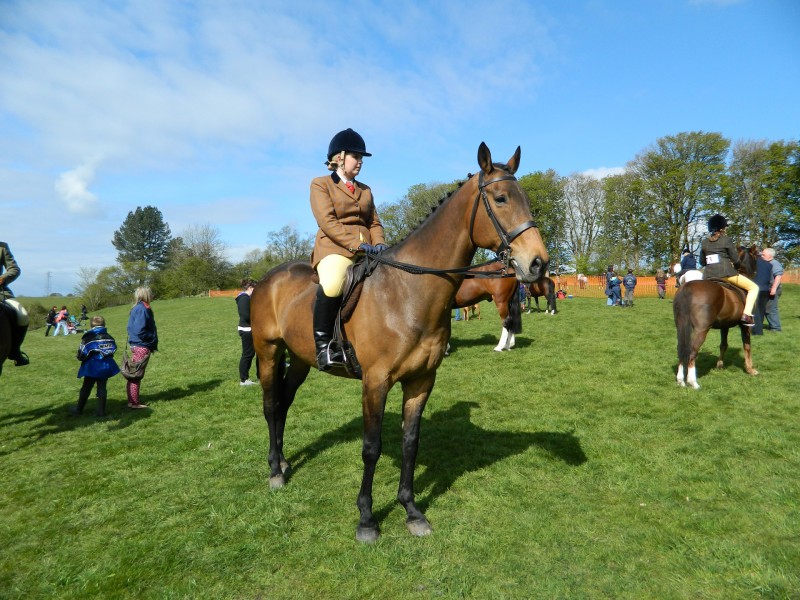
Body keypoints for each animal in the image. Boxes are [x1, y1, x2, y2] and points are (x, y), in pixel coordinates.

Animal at [253, 143, 548, 540]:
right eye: (501, 198)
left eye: (526, 199)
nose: (538, 264)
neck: (408, 292)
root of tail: (267, 279)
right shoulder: (375, 382)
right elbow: (371, 447)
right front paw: (366, 519)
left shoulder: (421, 380)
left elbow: (411, 442)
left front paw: (411, 511)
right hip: (268, 352)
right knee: (271, 405)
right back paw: (275, 471)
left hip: (300, 359)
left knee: (284, 404)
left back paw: (284, 461)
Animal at [672, 245, 760, 390]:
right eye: (756, 257)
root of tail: (687, 287)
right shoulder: (745, 326)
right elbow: (747, 346)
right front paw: (750, 369)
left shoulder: (725, 326)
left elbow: (723, 345)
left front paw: (719, 365)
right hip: (701, 330)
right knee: (692, 351)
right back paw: (693, 382)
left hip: (680, 326)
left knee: (681, 349)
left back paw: (680, 380)